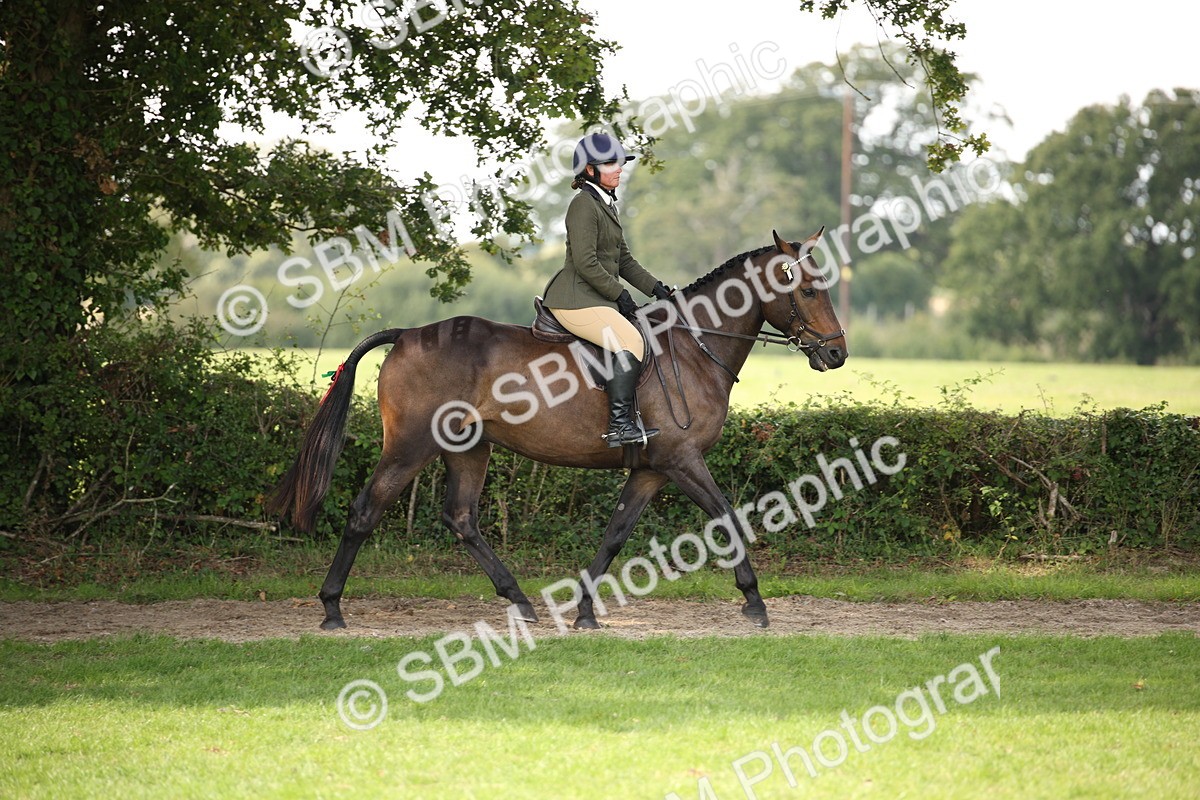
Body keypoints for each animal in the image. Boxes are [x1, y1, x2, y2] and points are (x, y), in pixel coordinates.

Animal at [268, 229, 847, 631]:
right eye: (807, 290)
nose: (837, 354)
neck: (693, 346)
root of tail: (409, 334)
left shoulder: (653, 470)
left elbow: (616, 533)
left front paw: (585, 611)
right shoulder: (683, 460)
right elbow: (727, 516)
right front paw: (755, 602)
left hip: (468, 447)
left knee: (461, 518)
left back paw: (521, 601)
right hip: (412, 446)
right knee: (366, 511)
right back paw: (332, 609)